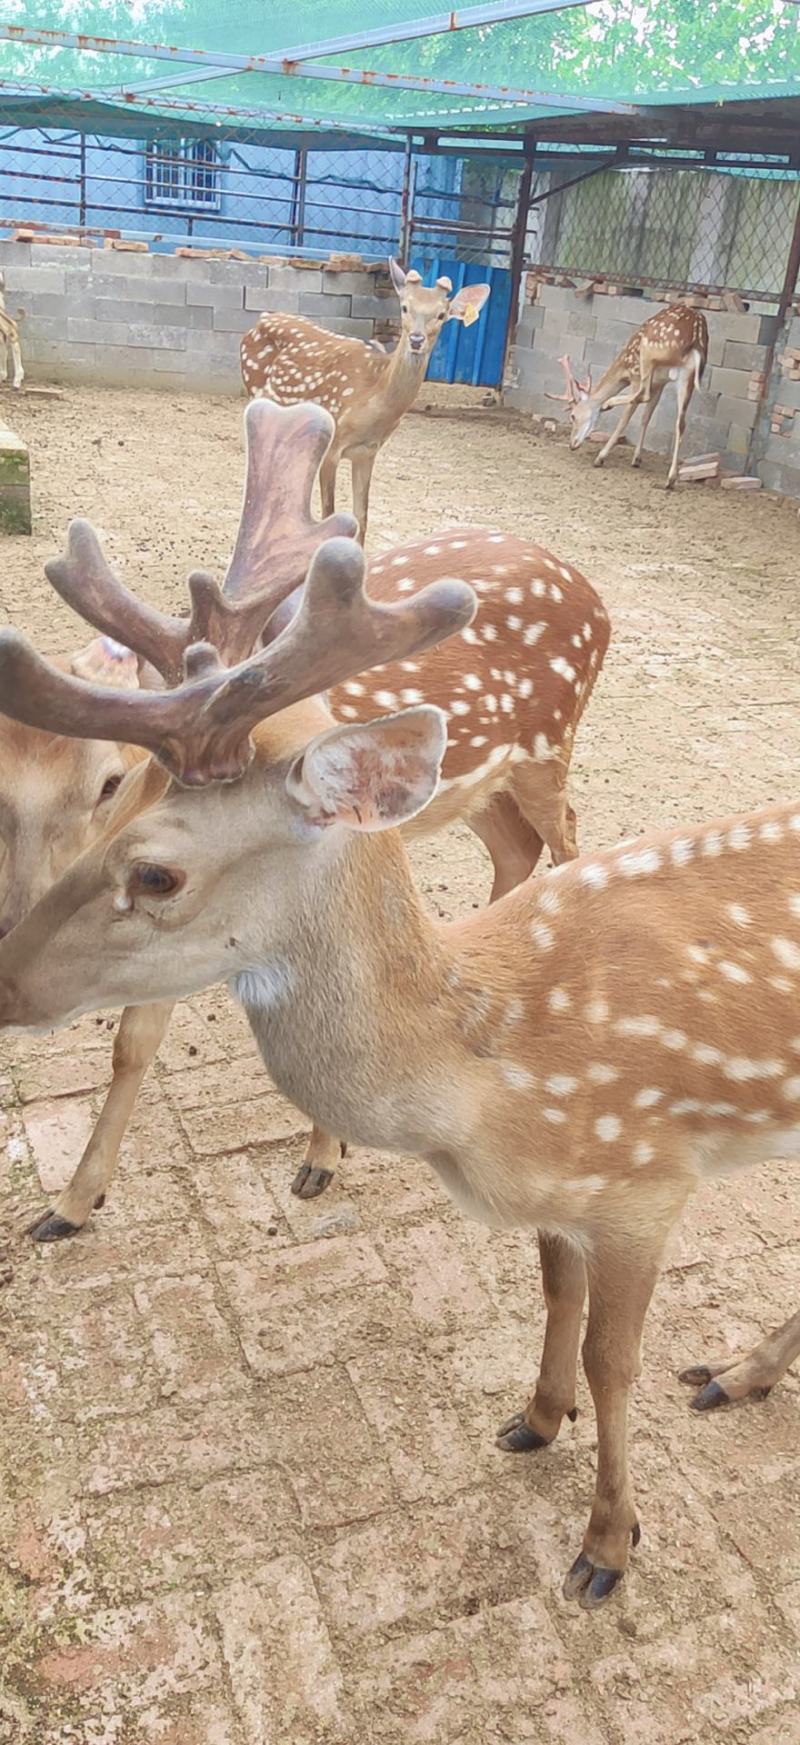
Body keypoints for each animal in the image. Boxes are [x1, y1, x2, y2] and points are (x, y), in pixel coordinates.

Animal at [4, 399, 607, 1235]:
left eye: (110, 780)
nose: (19, 921)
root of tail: (592, 592)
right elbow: (133, 1042)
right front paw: (70, 1203)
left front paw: (324, 1155)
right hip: (479, 785)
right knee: (513, 849)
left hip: (551, 747)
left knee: (569, 834)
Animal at [239, 254, 489, 540]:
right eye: (404, 307)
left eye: (441, 314)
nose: (416, 339)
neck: (372, 397)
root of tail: (259, 321)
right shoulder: (334, 443)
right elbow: (329, 513)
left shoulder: (368, 452)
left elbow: (362, 517)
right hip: (255, 394)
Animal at [548, 303, 712, 488]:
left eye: (573, 416)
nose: (572, 444)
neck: (623, 369)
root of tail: (697, 336)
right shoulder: (660, 383)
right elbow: (646, 417)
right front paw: (636, 459)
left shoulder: (635, 375)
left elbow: (626, 418)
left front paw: (600, 457)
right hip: (687, 375)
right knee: (681, 422)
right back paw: (670, 479)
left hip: (649, 352)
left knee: (643, 394)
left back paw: (608, 405)